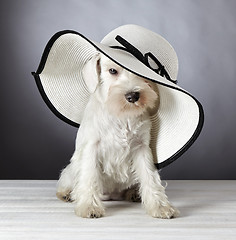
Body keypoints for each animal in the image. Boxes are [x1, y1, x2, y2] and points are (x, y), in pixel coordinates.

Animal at [55, 53, 179, 218]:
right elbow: (89, 177)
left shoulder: (141, 148)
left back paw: (134, 193)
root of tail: (111, 195)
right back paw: (67, 194)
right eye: (112, 71)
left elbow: (150, 177)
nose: (133, 96)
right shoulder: (92, 148)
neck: (122, 114)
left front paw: (160, 207)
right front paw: (89, 207)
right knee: (67, 181)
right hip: (71, 170)